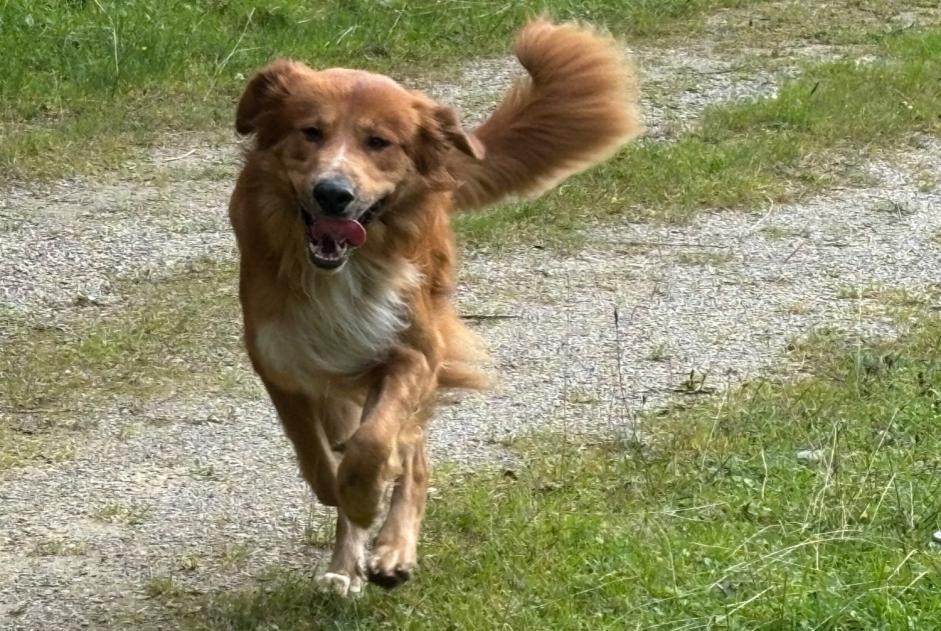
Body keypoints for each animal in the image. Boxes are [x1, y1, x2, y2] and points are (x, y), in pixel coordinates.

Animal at [228, 17, 640, 596]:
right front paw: (346, 502)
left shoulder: (412, 352)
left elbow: (375, 444)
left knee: (413, 450)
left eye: (379, 143)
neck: (344, 269)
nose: (333, 193)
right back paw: (345, 565)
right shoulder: (283, 362)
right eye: (310, 132)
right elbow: (317, 460)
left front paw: (368, 495)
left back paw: (394, 546)